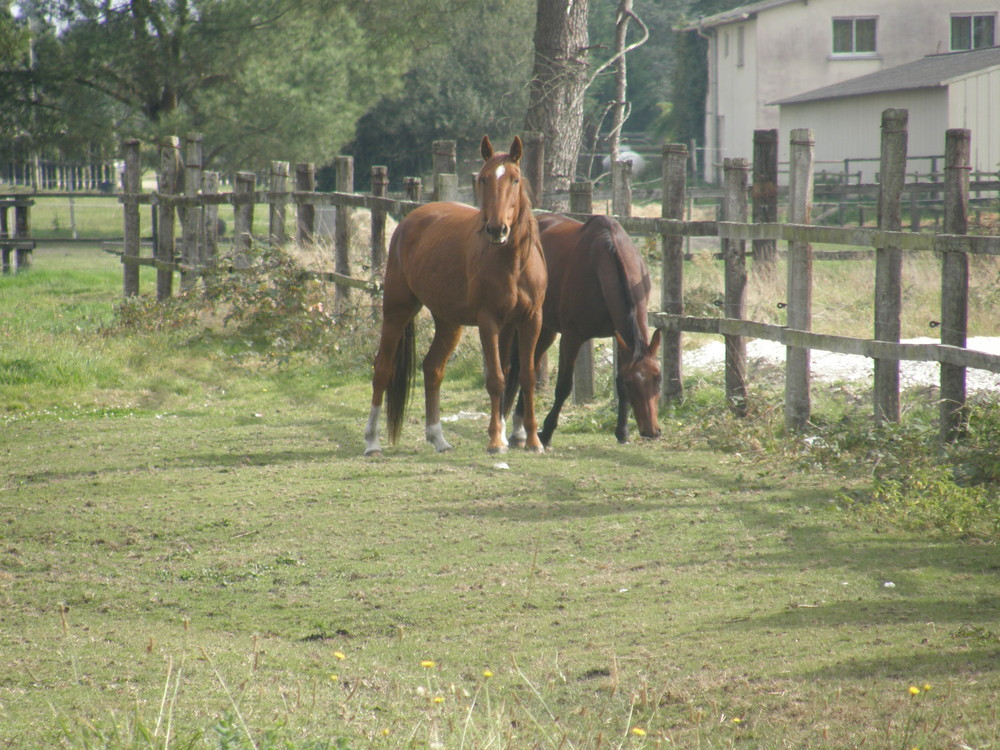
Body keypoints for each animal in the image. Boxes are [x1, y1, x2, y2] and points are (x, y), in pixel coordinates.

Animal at [364, 136, 548, 458]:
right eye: (484, 178)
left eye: (514, 179)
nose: (496, 229)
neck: (513, 262)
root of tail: (409, 220)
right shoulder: (489, 323)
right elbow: (496, 379)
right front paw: (496, 441)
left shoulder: (529, 321)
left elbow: (525, 377)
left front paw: (533, 441)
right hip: (397, 311)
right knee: (382, 370)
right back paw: (372, 441)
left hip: (449, 322)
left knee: (433, 369)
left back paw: (437, 437)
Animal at [508, 212, 664, 446]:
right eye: (631, 383)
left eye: (658, 378)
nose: (651, 431)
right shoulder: (571, 338)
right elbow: (564, 386)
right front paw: (547, 432)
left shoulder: (620, 337)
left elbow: (616, 382)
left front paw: (622, 431)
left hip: (545, 328)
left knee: (530, 365)